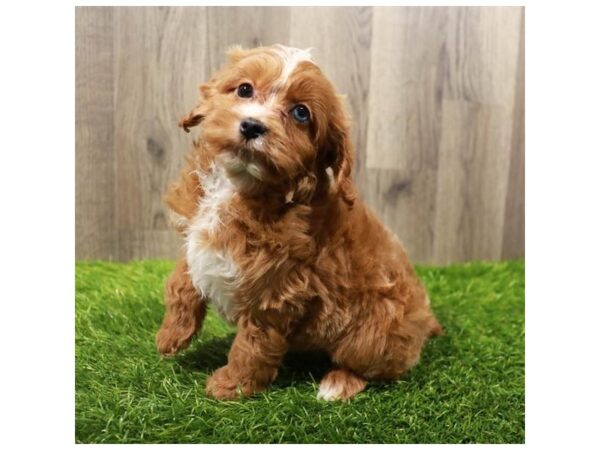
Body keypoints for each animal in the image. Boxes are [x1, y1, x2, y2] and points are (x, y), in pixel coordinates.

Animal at [157, 44, 442, 400]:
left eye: (301, 114)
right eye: (244, 89)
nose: (252, 126)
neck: (237, 185)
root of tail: (425, 321)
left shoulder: (275, 290)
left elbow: (253, 343)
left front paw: (232, 385)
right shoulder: (196, 235)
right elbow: (182, 279)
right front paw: (171, 334)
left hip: (372, 333)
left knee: (374, 367)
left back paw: (338, 383)